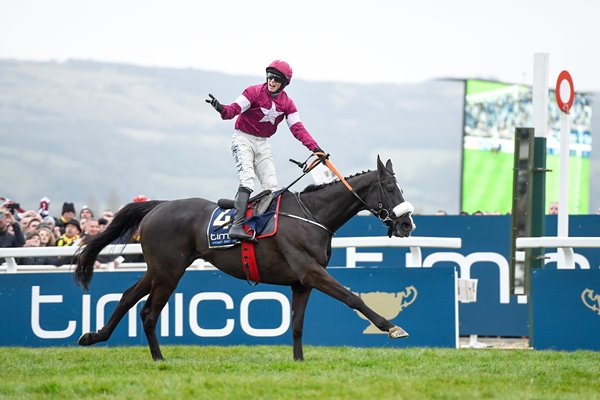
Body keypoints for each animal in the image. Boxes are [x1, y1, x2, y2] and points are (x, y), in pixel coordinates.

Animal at [72, 155, 414, 360]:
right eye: (389, 188)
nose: (407, 224)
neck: (312, 215)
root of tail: (158, 206)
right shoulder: (310, 271)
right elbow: (352, 297)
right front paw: (391, 327)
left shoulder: (301, 282)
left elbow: (297, 324)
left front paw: (299, 362)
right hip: (170, 271)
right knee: (148, 312)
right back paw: (159, 359)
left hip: (158, 268)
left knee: (128, 296)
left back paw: (94, 336)